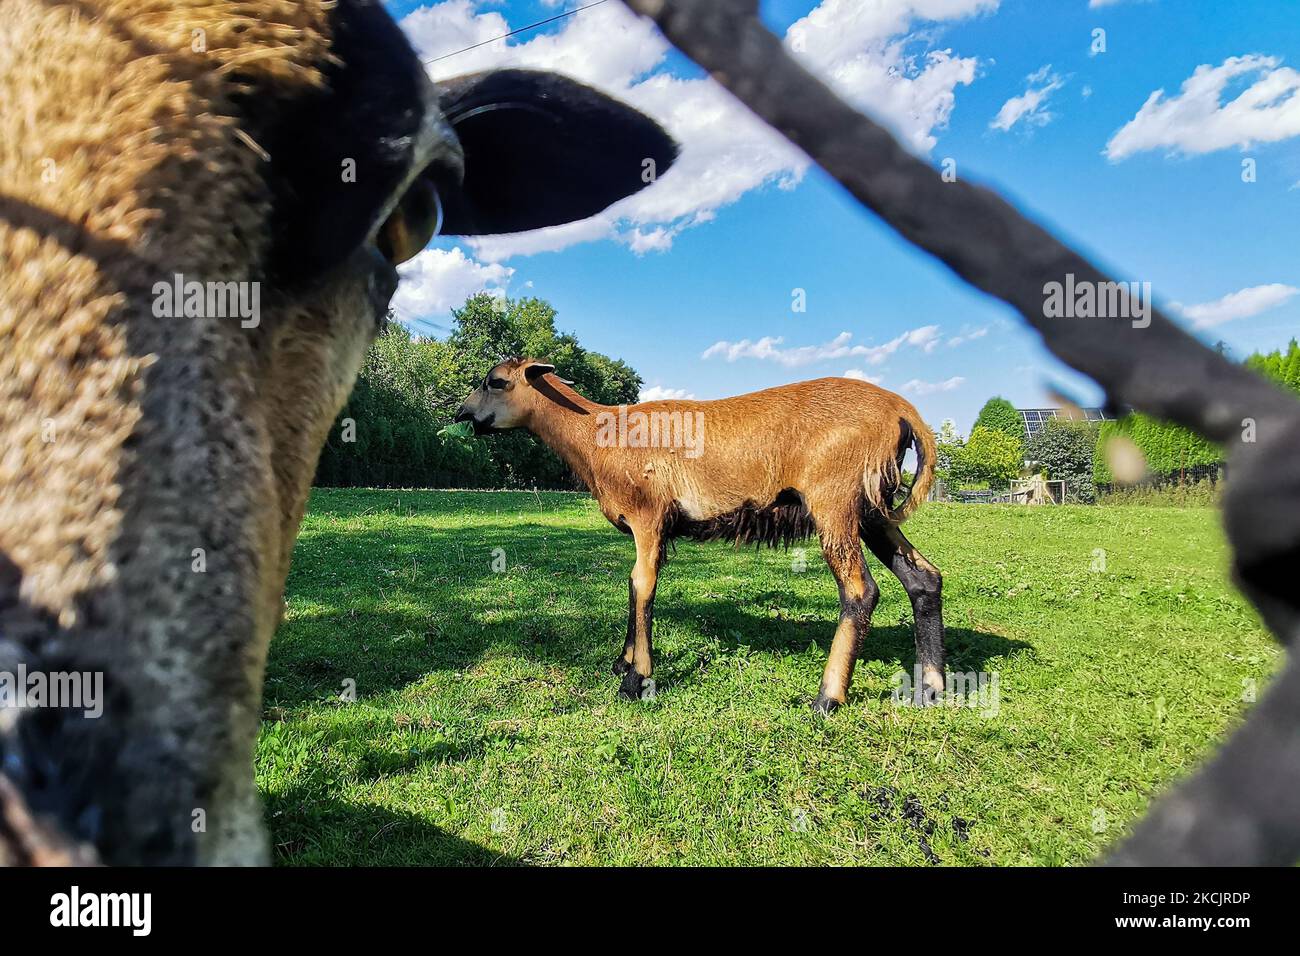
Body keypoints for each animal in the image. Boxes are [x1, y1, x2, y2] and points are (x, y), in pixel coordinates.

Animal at [457, 356, 946, 712]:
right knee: (923, 578)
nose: (462, 413)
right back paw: (931, 690)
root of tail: (905, 412)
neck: (597, 438)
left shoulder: (649, 517)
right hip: (872, 508)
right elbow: (632, 587)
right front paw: (622, 663)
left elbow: (642, 585)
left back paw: (827, 698)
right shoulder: (648, 528)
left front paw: (635, 680)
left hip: (836, 500)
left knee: (860, 591)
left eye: (496, 382)